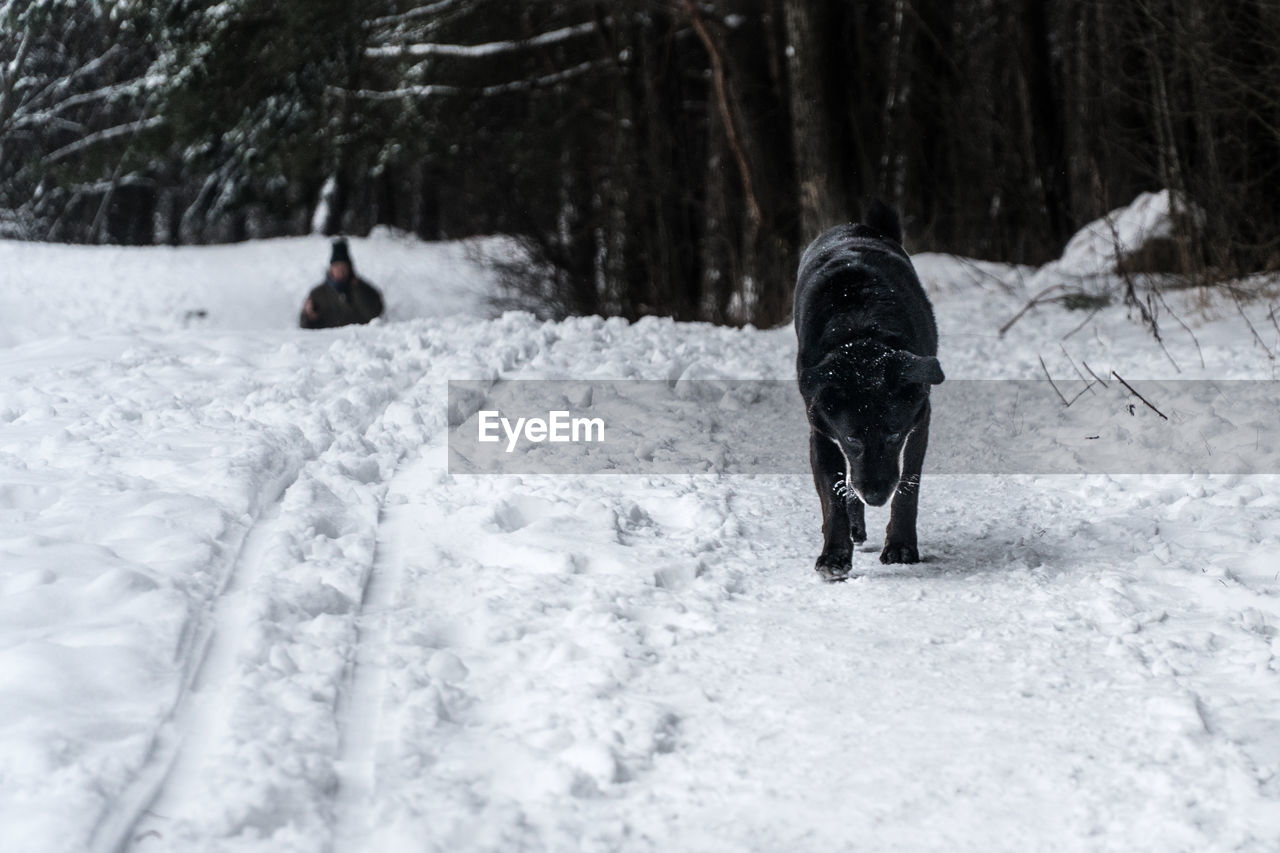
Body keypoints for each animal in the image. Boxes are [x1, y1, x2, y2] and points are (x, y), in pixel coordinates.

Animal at [793, 201, 947, 578]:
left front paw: (902, 545)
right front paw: (834, 555)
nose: (876, 497)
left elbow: (908, 486)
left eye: (893, 435)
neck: (861, 333)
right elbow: (833, 496)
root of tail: (855, 226)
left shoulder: (919, 422)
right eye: (852, 437)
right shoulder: (822, 432)